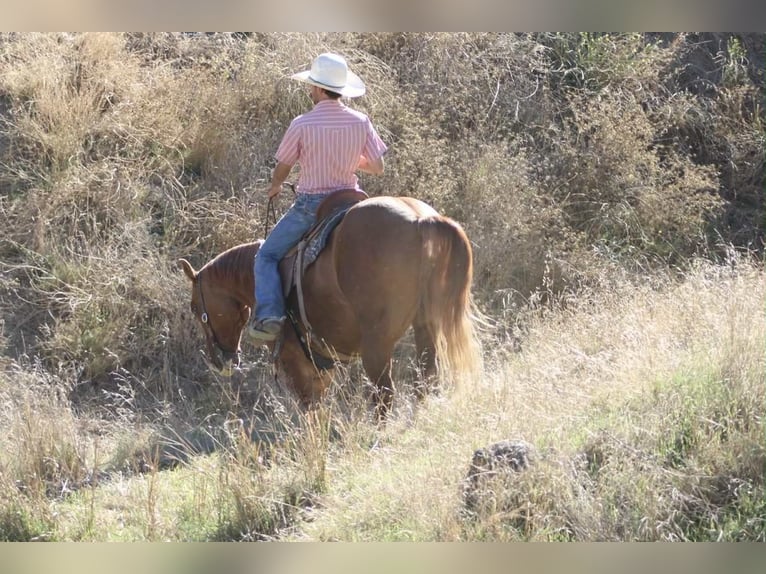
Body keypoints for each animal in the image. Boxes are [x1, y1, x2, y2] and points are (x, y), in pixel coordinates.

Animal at [179, 193, 481, 420]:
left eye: (195, 308)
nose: (219, 360)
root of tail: (421, 219)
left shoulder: (296, 362)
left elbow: (310, 411)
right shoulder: (321, 368)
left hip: (377, 344)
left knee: (384, 393)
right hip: (425, 328)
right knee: (425, 379)